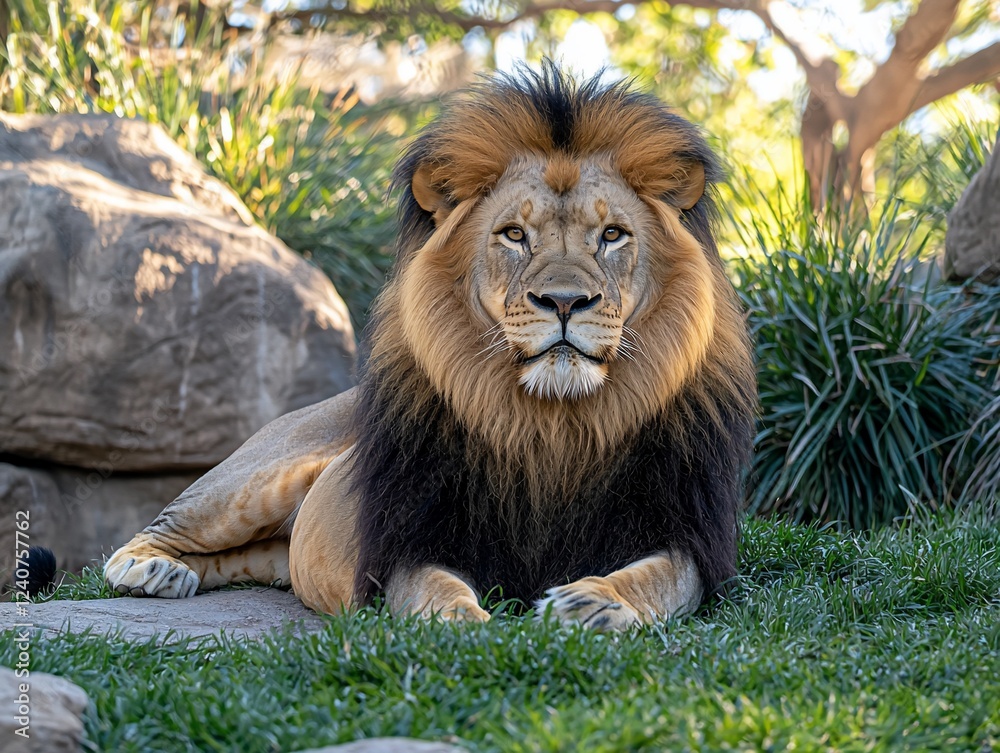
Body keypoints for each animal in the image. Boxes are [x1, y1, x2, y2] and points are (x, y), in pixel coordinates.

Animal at [103, 64, 756, 630]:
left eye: (613, 235)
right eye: (514, 235)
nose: (565, 301)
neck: (553, 426)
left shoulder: (684, 533)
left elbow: (656, 578)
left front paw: (593, 605)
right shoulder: (408, 540)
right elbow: (434, 586)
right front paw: (463, 623)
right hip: (254, 478)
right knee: (165, 525)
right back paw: (148, 568)